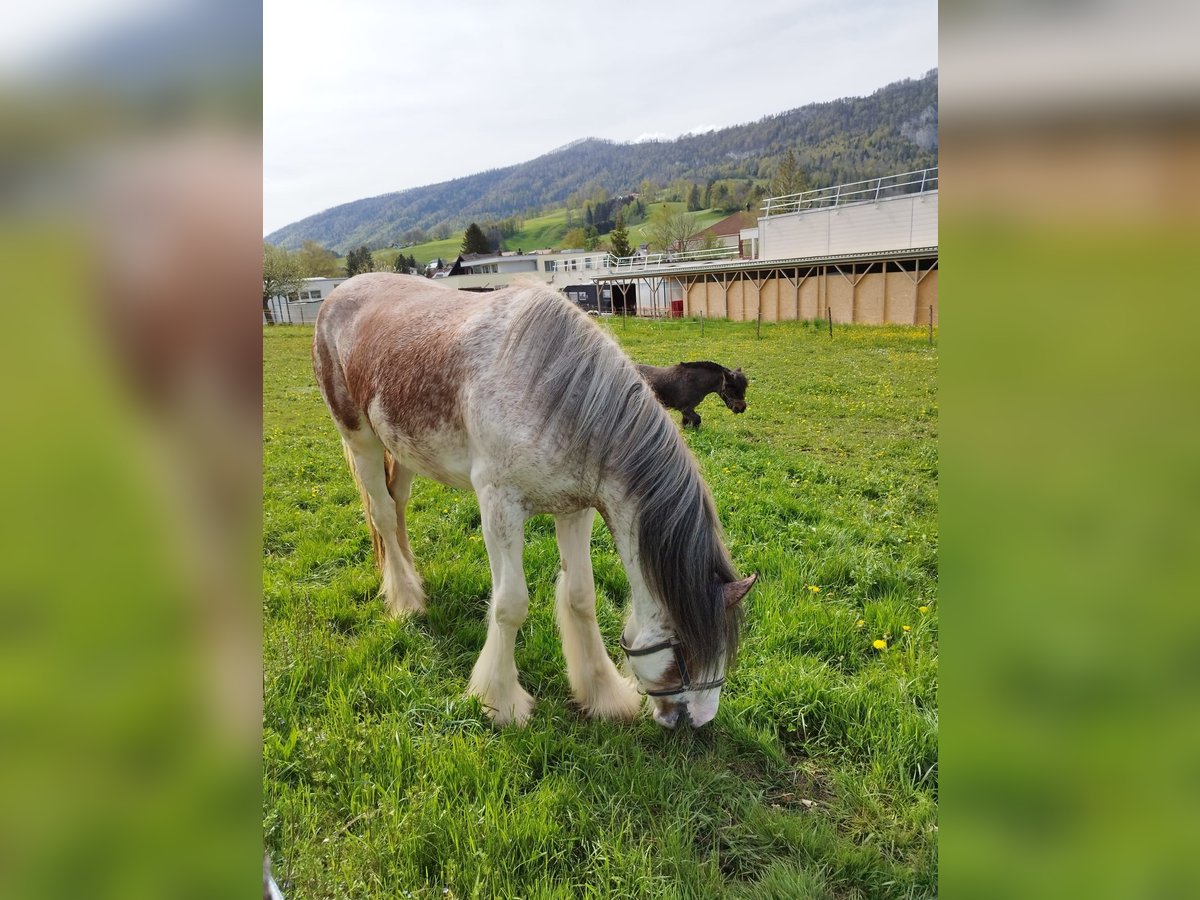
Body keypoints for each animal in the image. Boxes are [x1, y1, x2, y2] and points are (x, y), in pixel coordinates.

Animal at [314, 277, 753, 734]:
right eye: (685, 652)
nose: (697, 721)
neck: (554, 393)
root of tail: (339, 294)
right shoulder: (499, 506)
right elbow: (510, 606)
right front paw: (501, 702)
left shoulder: (575, 509)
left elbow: (581, 597)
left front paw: (602, 695)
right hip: (359, 437)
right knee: (382, 513)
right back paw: (405, 599)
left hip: (402, 449)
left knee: (397, 506)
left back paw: (413, 581)